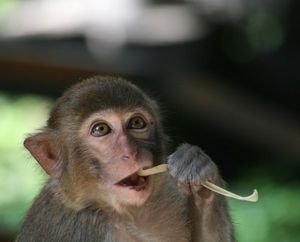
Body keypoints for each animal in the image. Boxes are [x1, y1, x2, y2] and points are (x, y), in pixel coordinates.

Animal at [17, 76, 234, 242]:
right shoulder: (81, 227)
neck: (126, 215)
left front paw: (196, 166)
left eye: (137, 123)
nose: (131, 152)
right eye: (101, 129)